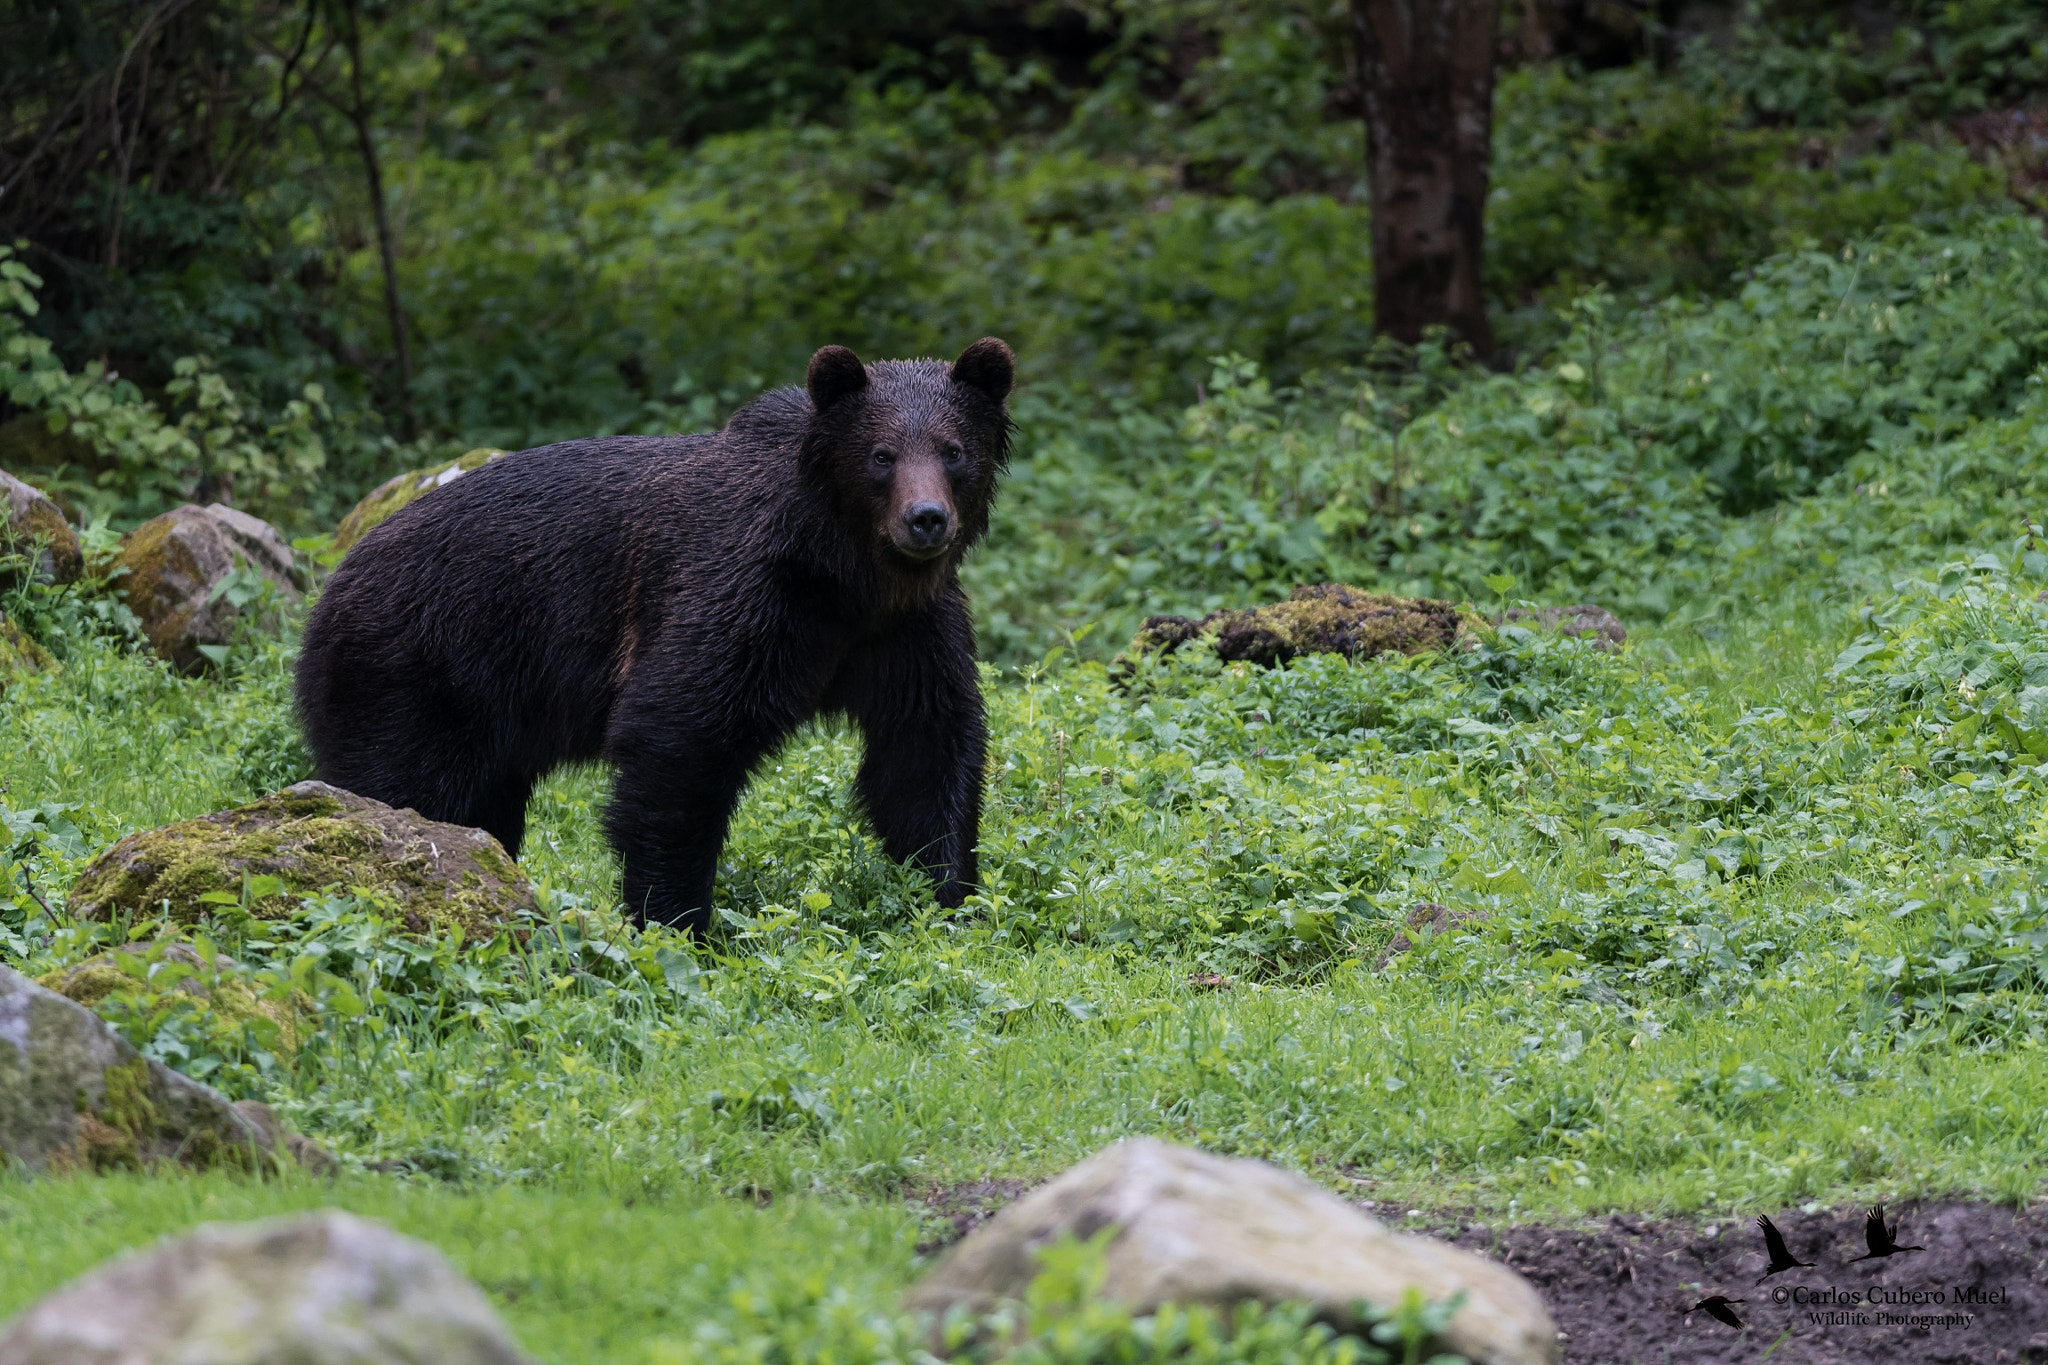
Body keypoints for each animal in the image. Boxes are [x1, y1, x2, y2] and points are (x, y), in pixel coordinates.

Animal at [294, 337, 1015, 933]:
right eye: (881, 455)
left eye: (953, 450)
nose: (926, 519)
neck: (843, 571)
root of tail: (329, 587)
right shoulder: (739, 595)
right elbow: (679, 736)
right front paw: (676, 918)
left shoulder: (903, 632)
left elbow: (924, 751)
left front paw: (949, 897)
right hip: (417, 674)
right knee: (406, 791)